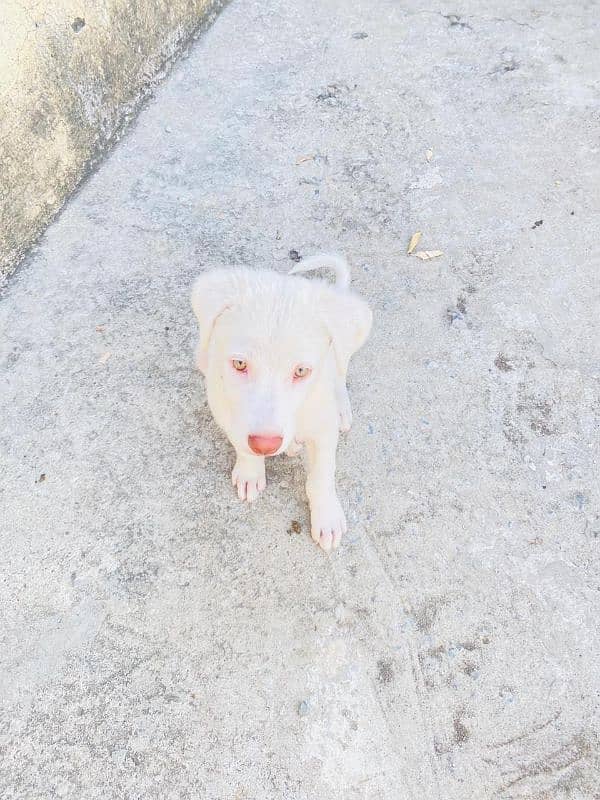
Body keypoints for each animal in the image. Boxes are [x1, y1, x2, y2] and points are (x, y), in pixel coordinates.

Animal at [191, 255, 370, 552]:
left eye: (301, 371)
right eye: (239, 364)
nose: (266, 446)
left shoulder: (323, 427)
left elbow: (323, 473)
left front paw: (327, 516)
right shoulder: (223, 406)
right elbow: (241, 443)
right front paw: (251, 472)